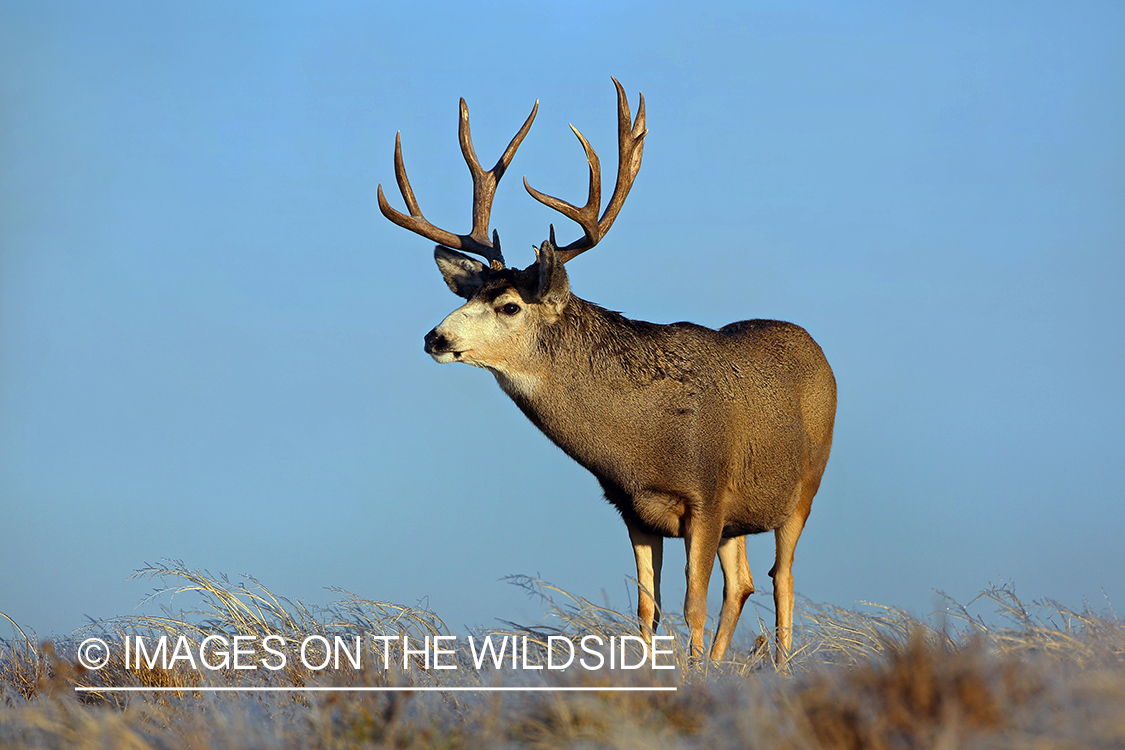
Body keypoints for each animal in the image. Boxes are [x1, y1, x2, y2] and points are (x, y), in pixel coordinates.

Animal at [378, 77, 837, 661]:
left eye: (509, 306)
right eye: (470, 295)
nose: (435, 338)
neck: (642, 443)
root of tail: (816, 348)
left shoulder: (707, 496)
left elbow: (692, 605)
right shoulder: (632, 509)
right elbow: (647, 610)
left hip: (803, 489)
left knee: (783, 581)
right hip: (742, 519)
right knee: (744, 584)